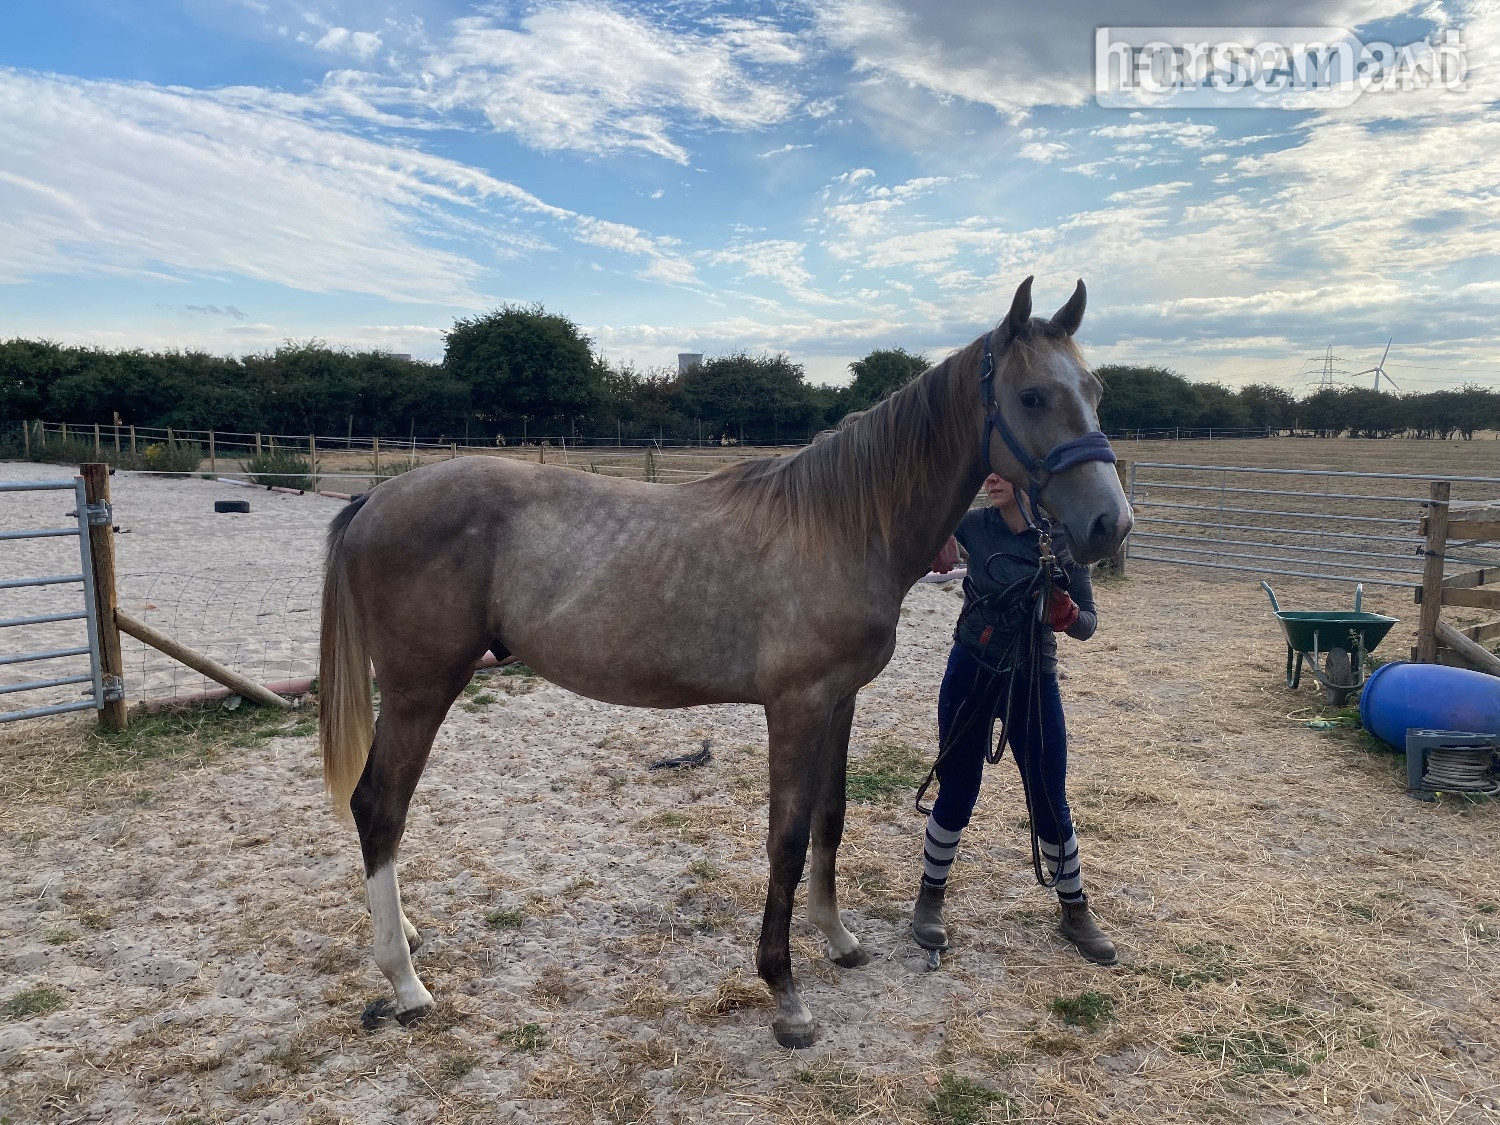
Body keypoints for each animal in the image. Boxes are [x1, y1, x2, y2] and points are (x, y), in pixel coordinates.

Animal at [318, 276, 1132, 1048]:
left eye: (1095, 391)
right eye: (1032, 395)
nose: (1109, 523)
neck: (840, 526)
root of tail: (373, 500)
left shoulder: (840, 701)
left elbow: (831, 818)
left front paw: (837, 938)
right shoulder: (796, 706)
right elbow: (787, 839)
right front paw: (785, 991)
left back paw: (406, 935)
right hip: (421, 690)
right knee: (380, 807)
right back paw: (405, 981)